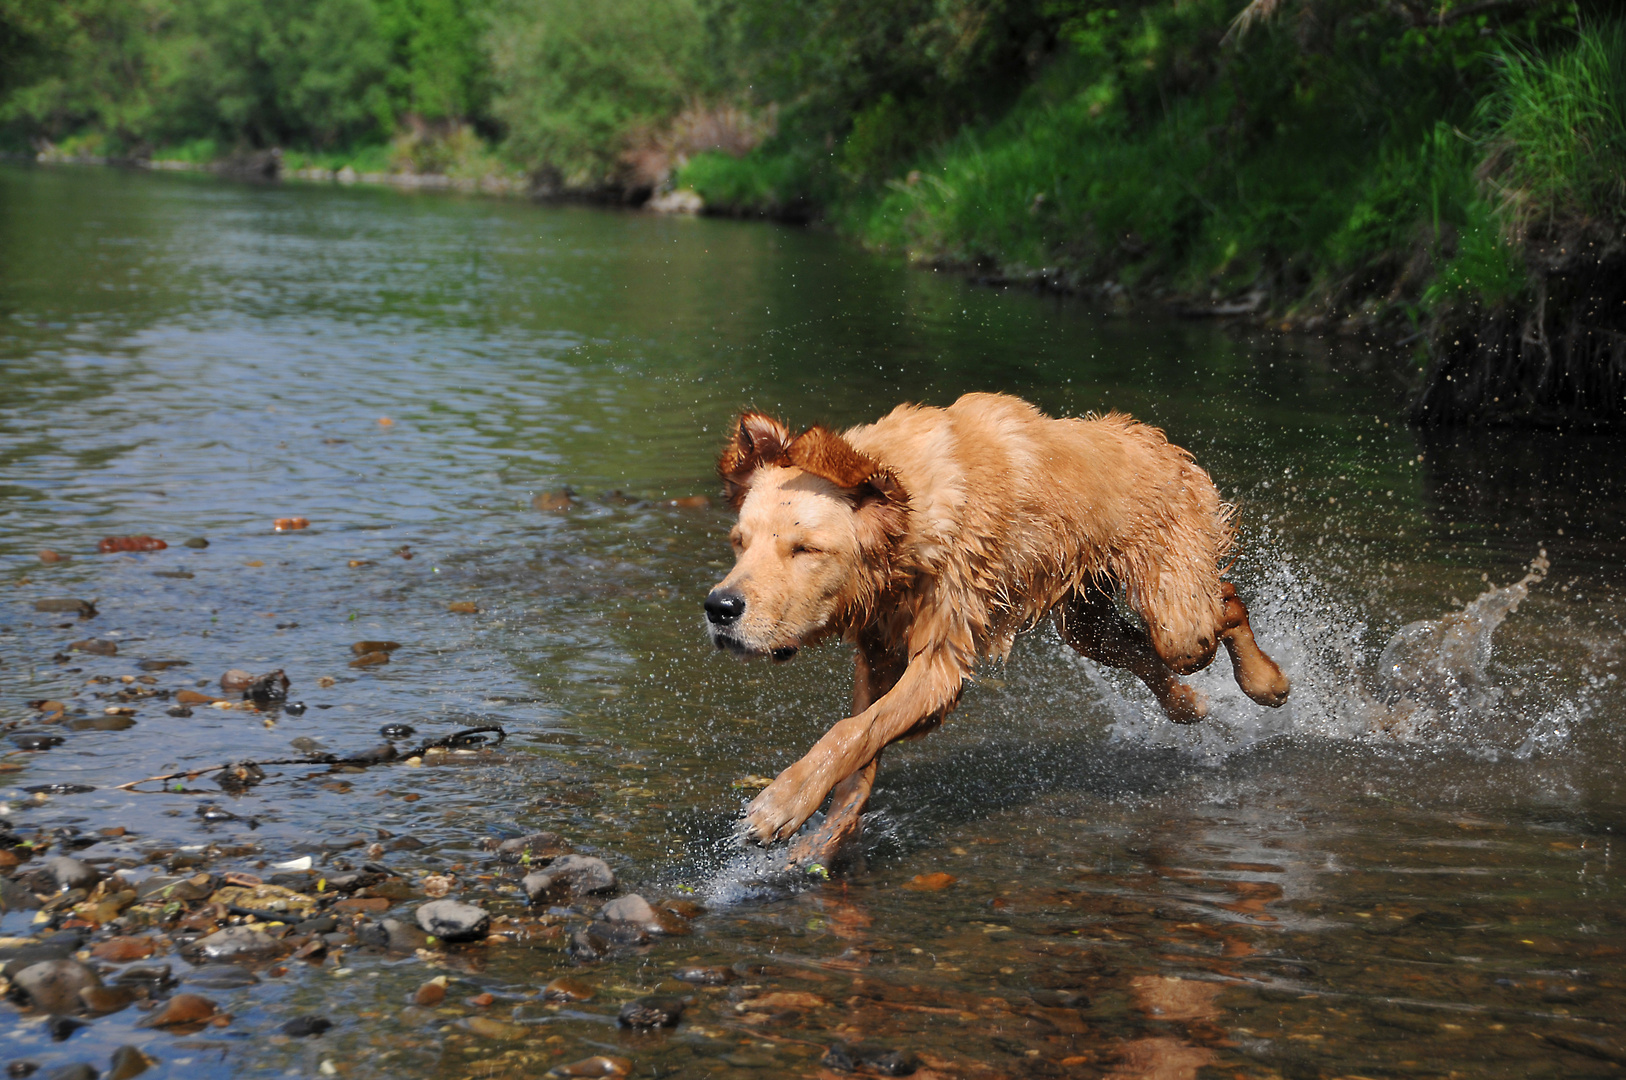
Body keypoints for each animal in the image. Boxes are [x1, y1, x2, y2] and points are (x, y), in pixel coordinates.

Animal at [705, 391, 1287, 865]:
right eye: (739, 542)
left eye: (804, 549)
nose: (719, 607)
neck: (913, 518)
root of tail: (1152, 437)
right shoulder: (879, 647)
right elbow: (859, 751)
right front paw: (823, 841)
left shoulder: (941, 660)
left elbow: (853, 731)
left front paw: (780, 805)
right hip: (1087, 620)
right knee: (1146, 646)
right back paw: (1187, 703)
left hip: (1177, 614)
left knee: (1221, 607)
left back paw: (1266, 681)